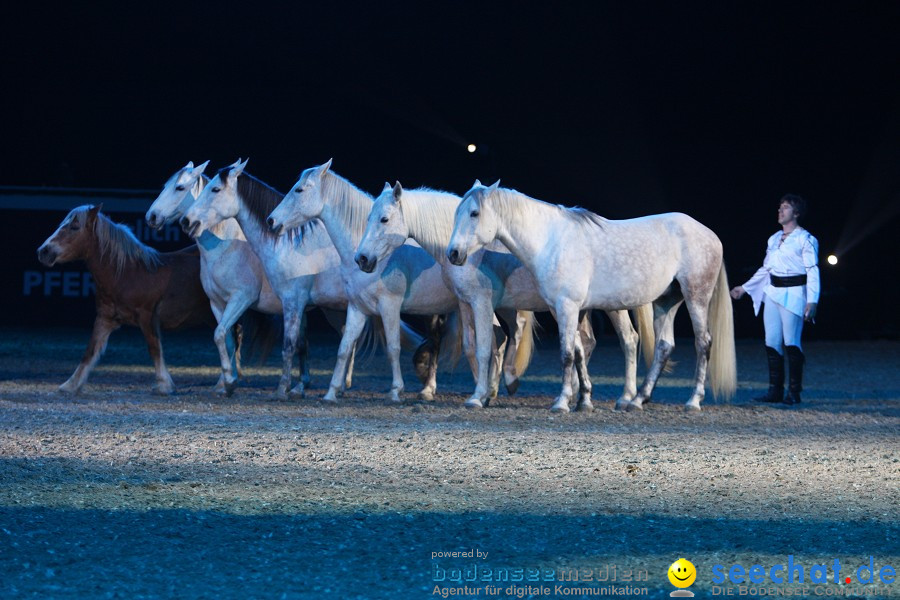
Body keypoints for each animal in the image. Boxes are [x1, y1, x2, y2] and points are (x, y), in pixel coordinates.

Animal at [37, 204, 217, 396]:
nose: (43, 251)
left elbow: (154, 349)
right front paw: (70, 385)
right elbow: (90, 350)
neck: (127, 273)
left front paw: (164, 385)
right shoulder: (105, 319)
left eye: (74, 227)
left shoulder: (147, 317)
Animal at [268, 159, 472, 404]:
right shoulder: (357, 307)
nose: (271, 220)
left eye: (299, 190)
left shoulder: (390, 306)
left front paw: (395, 391)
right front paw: (331, 392)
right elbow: (344, 348)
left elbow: (393, 348)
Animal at [354, 180, 652, 410]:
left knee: (628, 340)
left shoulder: (481, 302)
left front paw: (481, 395)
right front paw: (487, 391)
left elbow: (486, 346)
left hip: (611, 306)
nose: (362, 259)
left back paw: (625, 397)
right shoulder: (465, 303)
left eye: (384, 219)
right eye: (367, 218)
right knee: (586, 344)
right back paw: (581, 397)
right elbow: (474, 345)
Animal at [446, 180, 736, 412]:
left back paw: (693, 401)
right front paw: (583, 400)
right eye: (456, 213)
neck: (551, 240)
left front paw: (562, 402)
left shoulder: (567, 306)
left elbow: (566, 354)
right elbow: (578, 352)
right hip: (667, 302)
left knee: (703, 343)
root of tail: (710, 234)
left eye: (474, 213)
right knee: (664, 346)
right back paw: (637, 400)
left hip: (696, 296)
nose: (453, 253)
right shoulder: (565, 309)